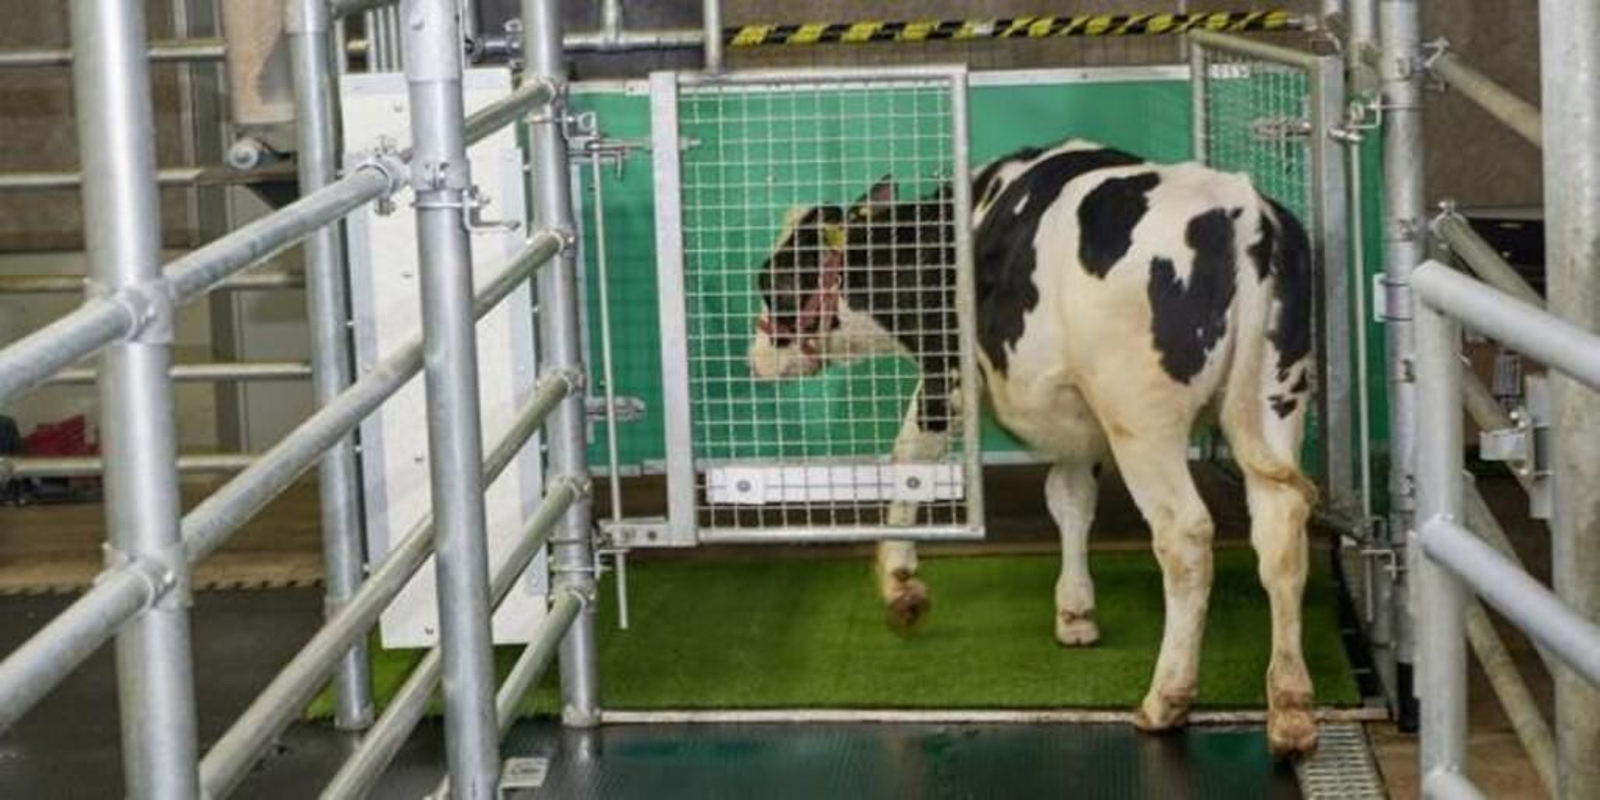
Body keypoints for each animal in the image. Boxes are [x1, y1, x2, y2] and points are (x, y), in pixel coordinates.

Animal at [745, 139, 1320, 757]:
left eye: (774, 281)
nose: (755, 357)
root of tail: (1241, 209)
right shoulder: (1074, 418)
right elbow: (1069, 499)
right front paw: (1075, 612)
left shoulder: (947, 375)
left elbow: (910, 457)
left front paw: (900, 582)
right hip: (1277, 396)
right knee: (1281, 529)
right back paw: (1290, 705)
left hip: (1142, 418)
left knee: (1185, 537)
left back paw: (1166, 698)